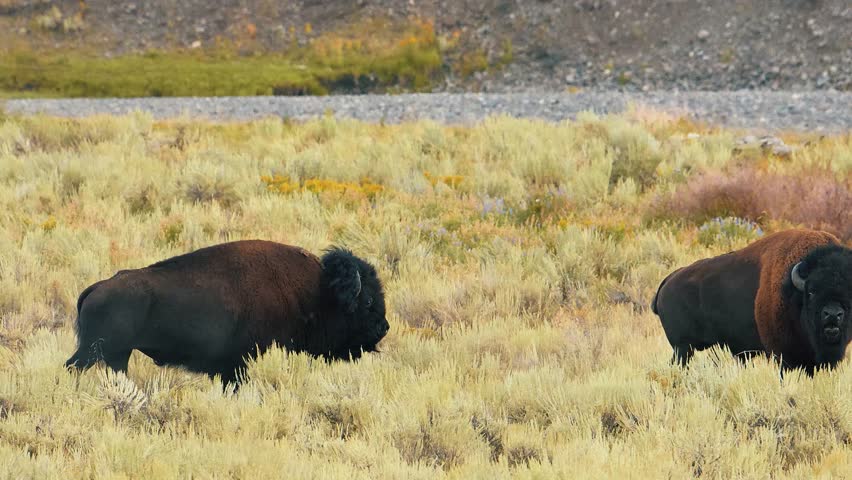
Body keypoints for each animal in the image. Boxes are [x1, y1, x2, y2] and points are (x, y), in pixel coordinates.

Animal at [65, 240, 389, 385]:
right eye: (368, 301)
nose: (384, 327)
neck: (316, 290)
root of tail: (96, 288)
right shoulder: (238, 363)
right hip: (96, 350)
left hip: (116, 355)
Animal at [652, 229, 852, 374]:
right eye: (811, 292)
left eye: (850, 294)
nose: (832, 315)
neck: (793, 291)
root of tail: (667, 281)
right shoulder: (783, 354)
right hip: (683, 347)